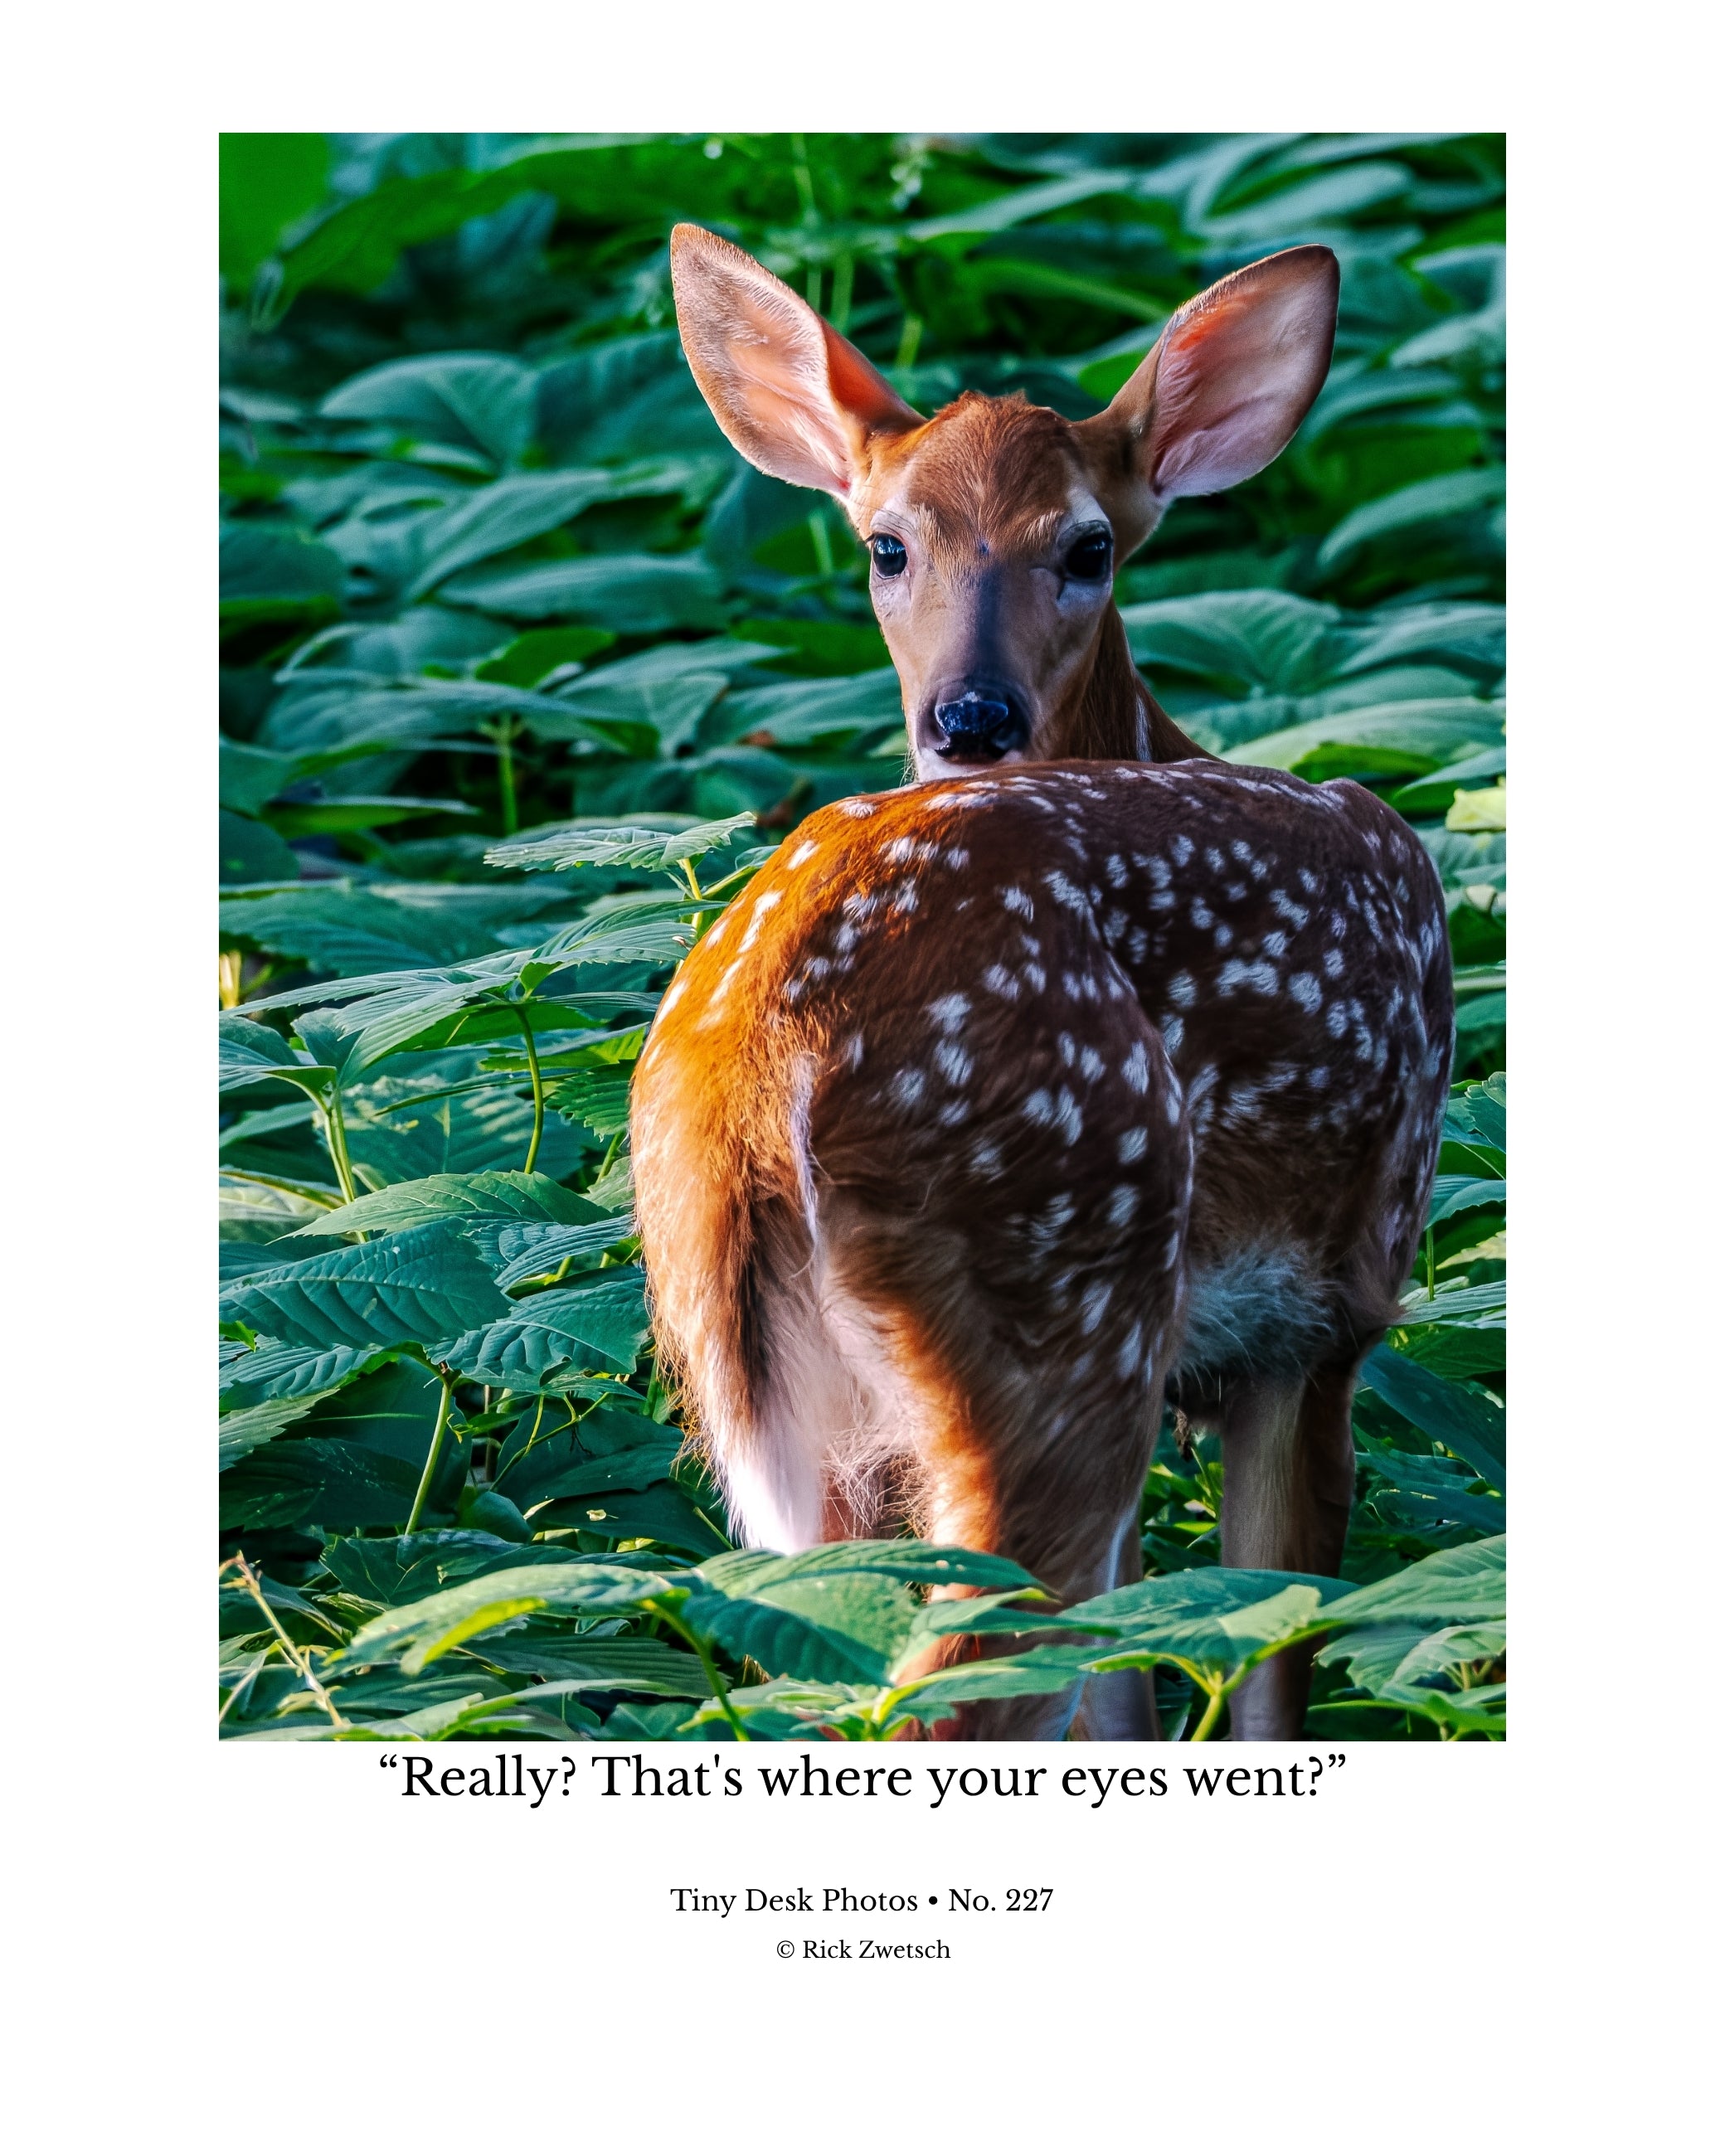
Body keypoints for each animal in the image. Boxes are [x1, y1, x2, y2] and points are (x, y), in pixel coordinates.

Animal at [628, 228, 1454, 1739]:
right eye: (886, 545)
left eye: (1088, 546)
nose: (971, 717)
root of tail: (758, 1060)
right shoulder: (1334, 1309)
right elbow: (1271, 1657)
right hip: (1063, 1282)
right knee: (961, 1688)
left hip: (784, 1411)